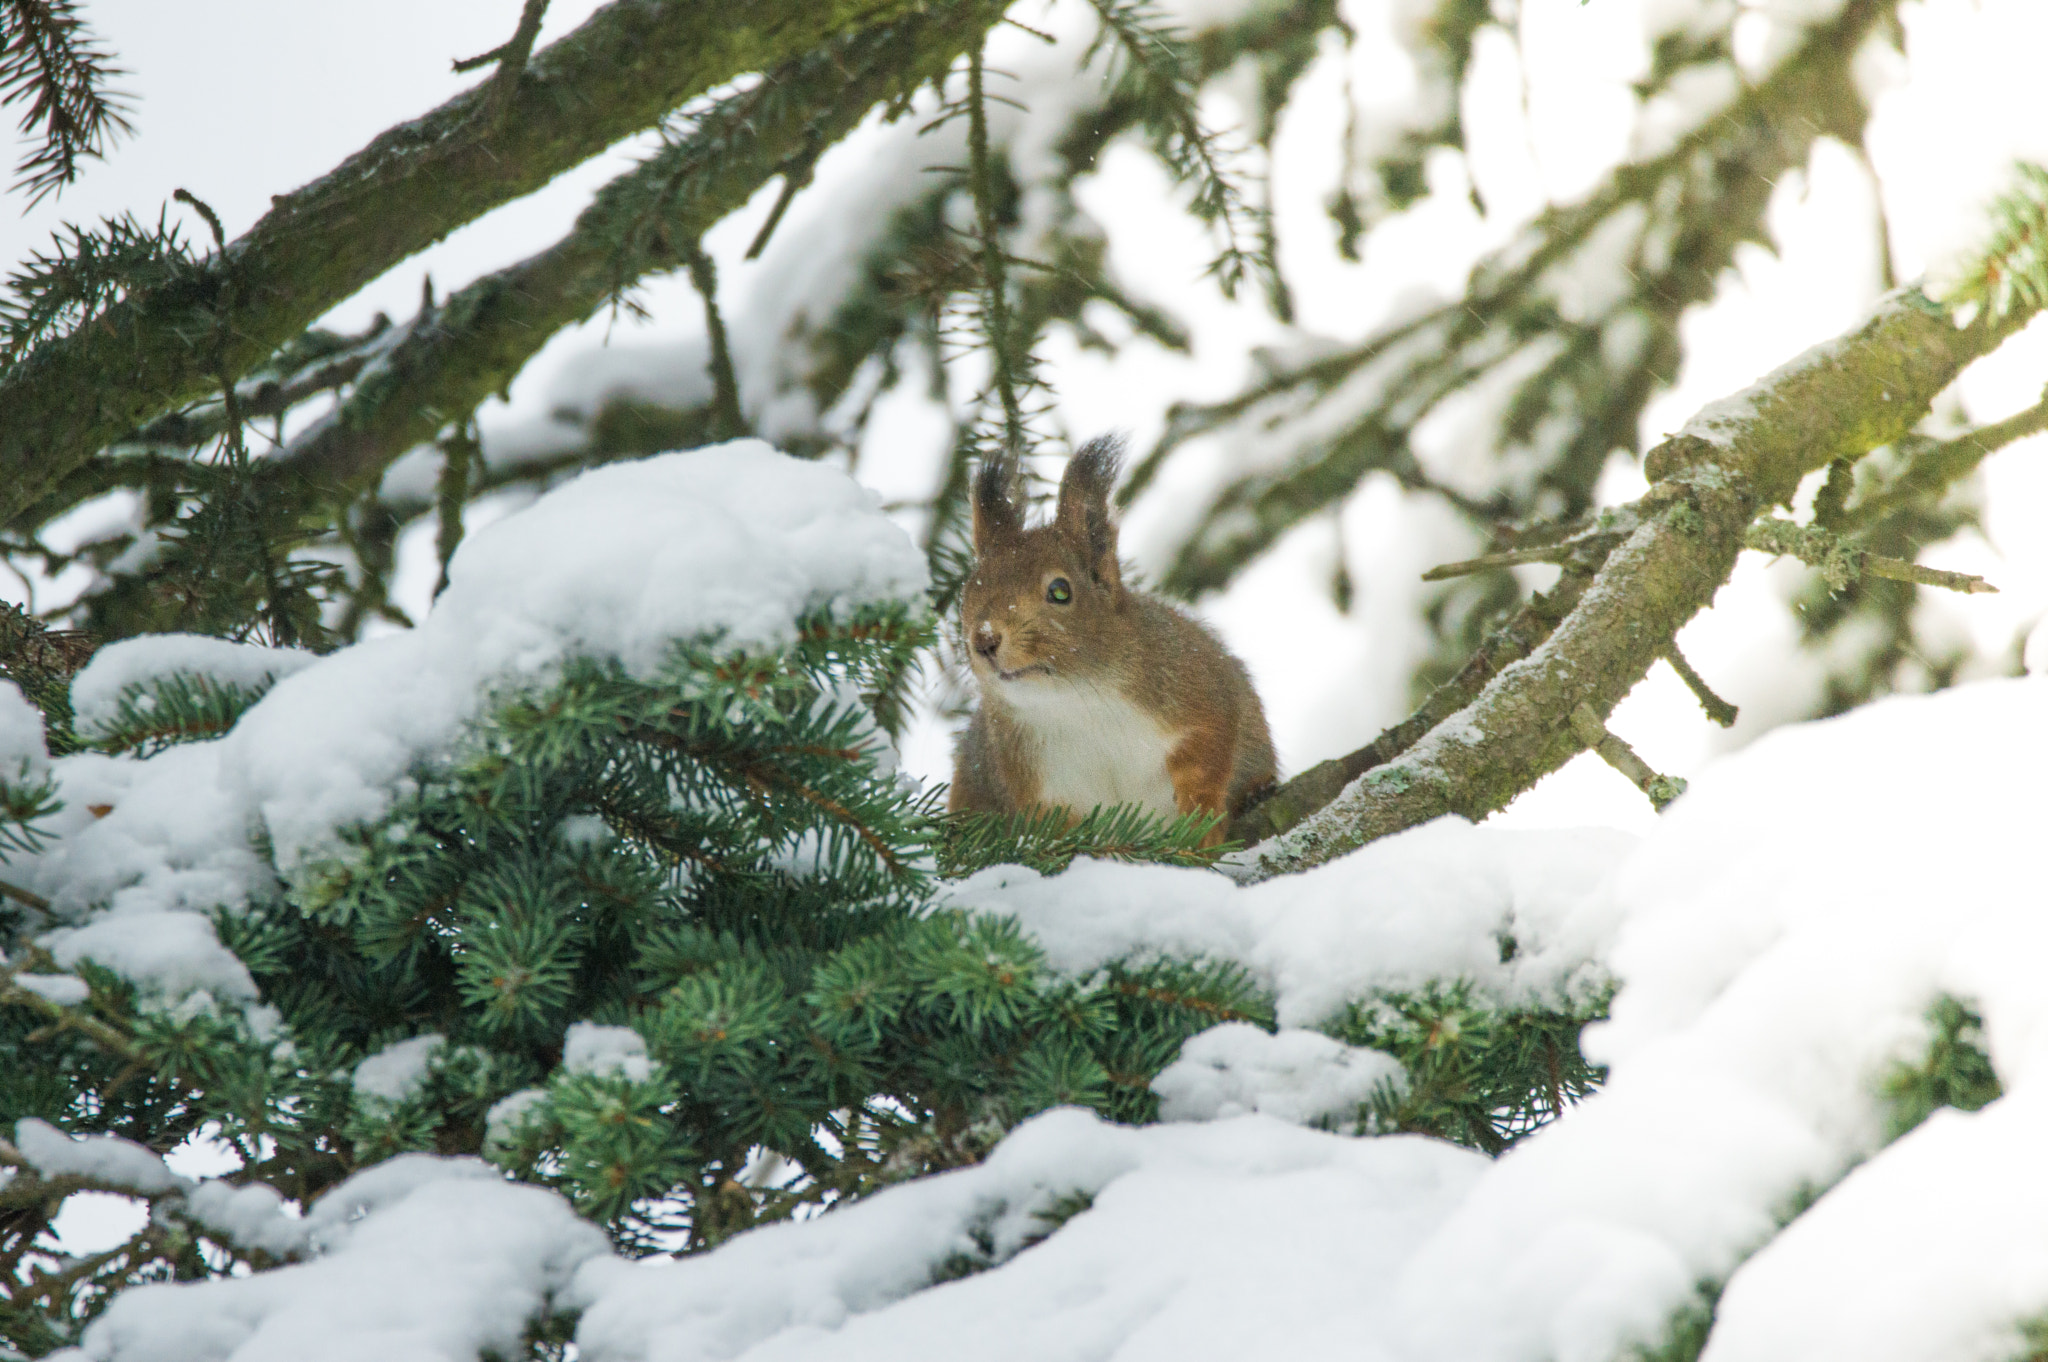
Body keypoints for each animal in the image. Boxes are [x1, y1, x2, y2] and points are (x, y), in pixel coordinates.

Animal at [947, 435, 1277, 846]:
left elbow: (1208, 755)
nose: (985, 639)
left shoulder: (1196, 686)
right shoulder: (1036, 785)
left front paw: (1199, 824)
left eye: (1060, 591)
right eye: (966, 596)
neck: (1076, 702)